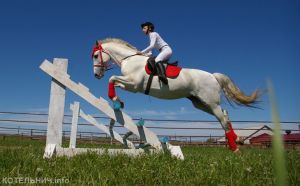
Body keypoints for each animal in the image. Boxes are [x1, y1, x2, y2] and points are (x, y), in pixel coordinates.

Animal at [92, 38, 260, 153]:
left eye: (95, 55)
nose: (96, 75)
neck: (129, 59)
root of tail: (213, 76)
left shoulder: (133, 84)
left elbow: (111, 78)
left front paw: (114, 99)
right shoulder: (130, 86)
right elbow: (114, 82)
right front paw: (119, 101)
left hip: (210, 102)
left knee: (222, 119)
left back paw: (234, 148)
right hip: (200, 103)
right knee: (224, 115)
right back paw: (238, 140)